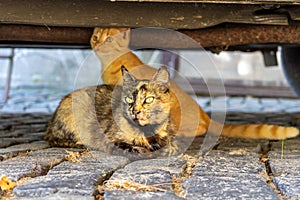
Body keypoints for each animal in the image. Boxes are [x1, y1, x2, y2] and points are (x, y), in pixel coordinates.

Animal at [45, 66, 177, 157]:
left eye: (149, 99)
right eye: (129, 99)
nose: (134, 111)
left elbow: (171, 146)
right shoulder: (110, 140)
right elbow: (133, 148)